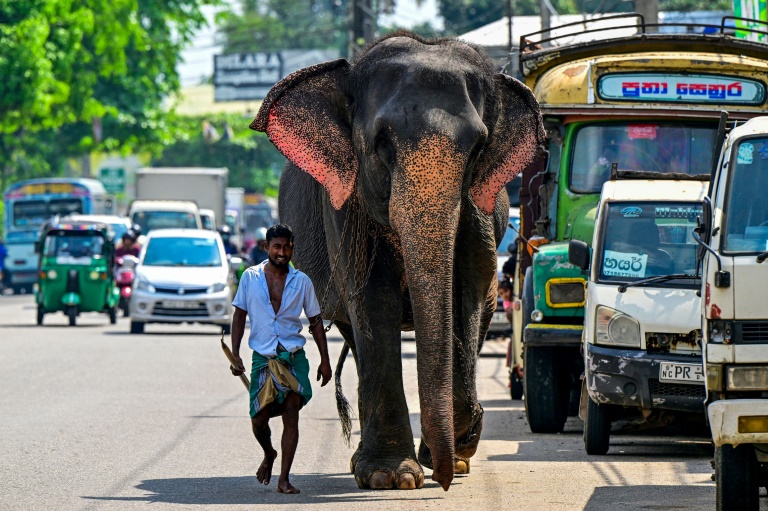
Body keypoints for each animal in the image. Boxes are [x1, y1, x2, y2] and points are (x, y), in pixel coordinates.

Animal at [249, 32, 544, 492]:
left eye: (478, 147)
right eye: (381, 143)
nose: (442, 478)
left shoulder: (478, 210)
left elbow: (468, 292)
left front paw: (455, 449)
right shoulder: (345, 205)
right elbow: (373, 298)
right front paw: (391, 476)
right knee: (356, 332)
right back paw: (372, 463)